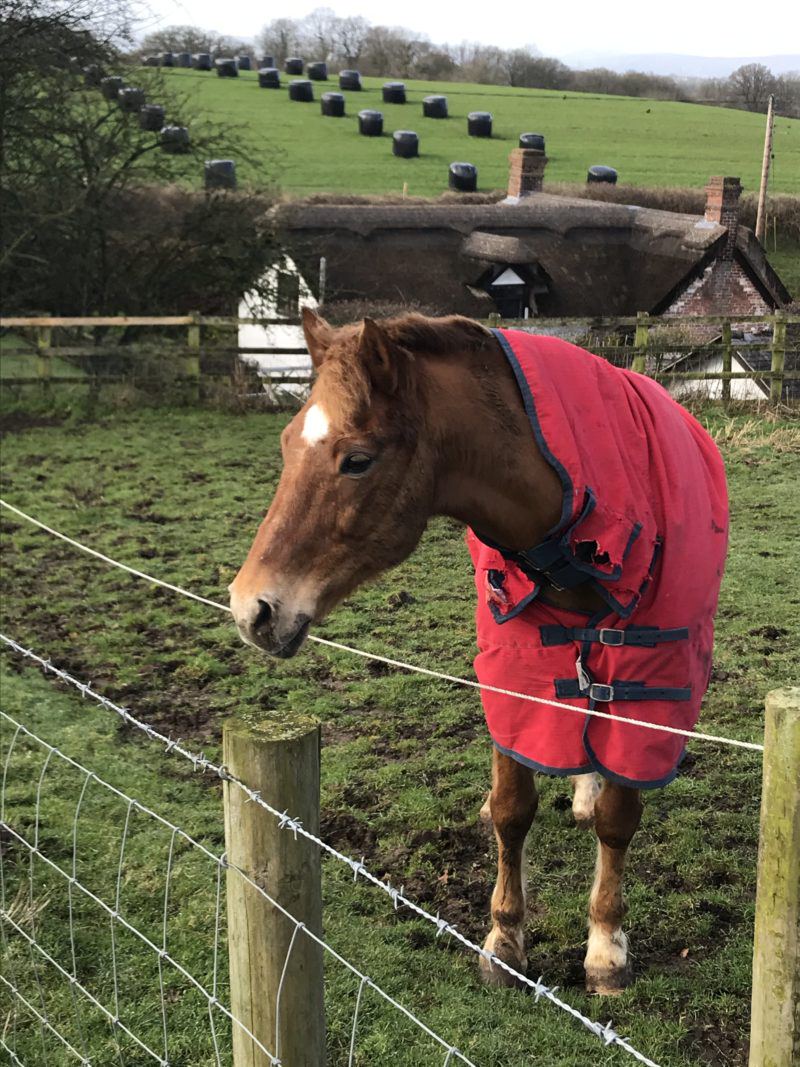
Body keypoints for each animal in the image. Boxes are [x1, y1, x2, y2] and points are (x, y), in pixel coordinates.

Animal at [229, 308, 728, 995]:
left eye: (357, 460)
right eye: (284, 444)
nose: (251, 608)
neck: (562, 533)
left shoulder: (651, 681)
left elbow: (619, 818)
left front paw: (606, 947)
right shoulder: (516, 669)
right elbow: (513, 810)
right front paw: (505, 939)